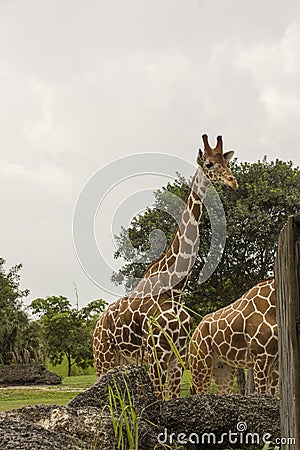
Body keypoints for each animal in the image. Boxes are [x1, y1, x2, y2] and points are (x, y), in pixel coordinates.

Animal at [92, 133, 238, 398]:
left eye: (228, 162)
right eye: (209, 164)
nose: (233, 182)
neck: (176, 289)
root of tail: (97, 325)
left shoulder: (176, 357)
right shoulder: (156, 354)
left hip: (122, 360)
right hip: (103, 357)